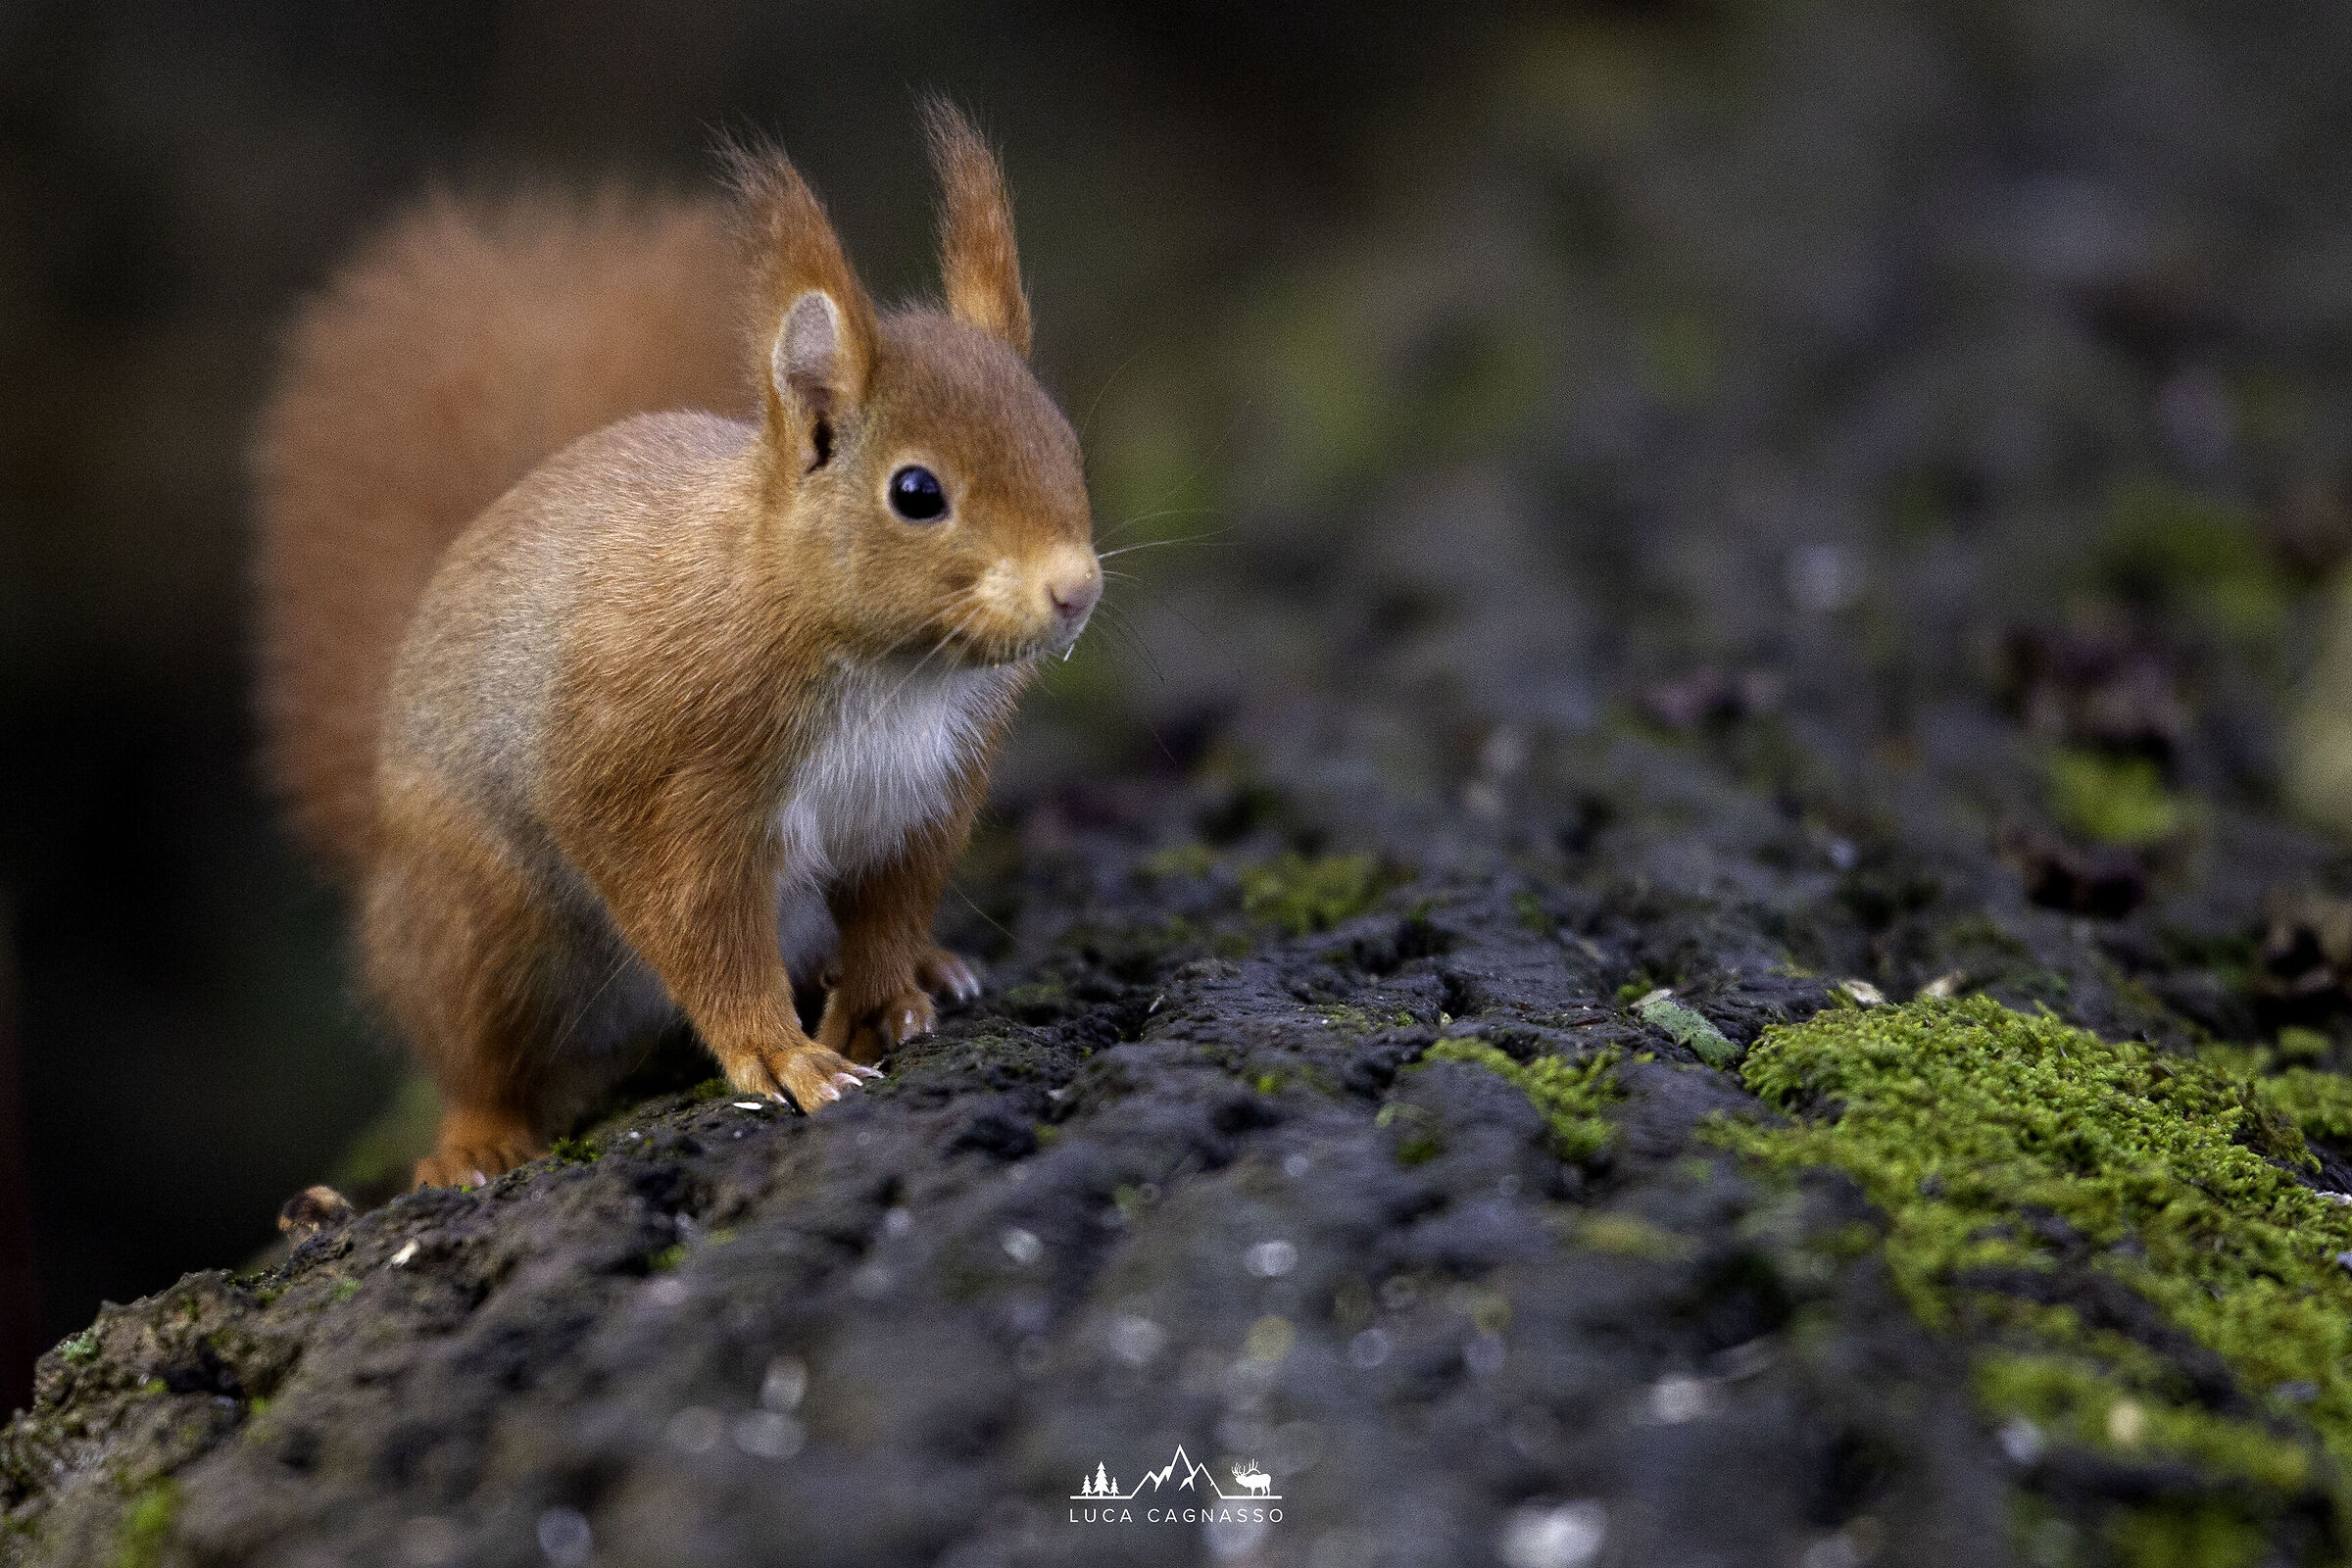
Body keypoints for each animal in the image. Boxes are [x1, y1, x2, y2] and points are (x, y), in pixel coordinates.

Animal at [252, 103, 1099, 1188]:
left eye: (1065, 445)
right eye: (917, 492)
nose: (1076, 592)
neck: (886, 671)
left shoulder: (925, 796)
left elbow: (889, 910)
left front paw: (885, 997)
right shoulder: (659, 781)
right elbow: (699, 932)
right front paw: (781, 1055)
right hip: (481, 919)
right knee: (475, 1046)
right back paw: (475, 1142)